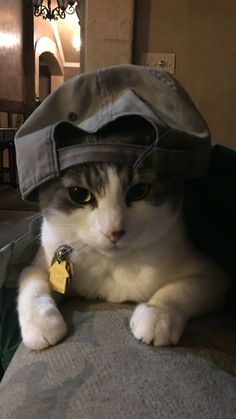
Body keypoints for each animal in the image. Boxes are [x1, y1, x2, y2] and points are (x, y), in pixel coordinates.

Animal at [17, 117, 230, 352]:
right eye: (79, 193)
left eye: (139, 191)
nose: (113, 231)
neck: (112, 264)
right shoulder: (45, 255)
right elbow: (32, 279)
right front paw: (41, 324)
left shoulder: (215, 274)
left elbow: (183, 288)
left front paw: (158, 314)